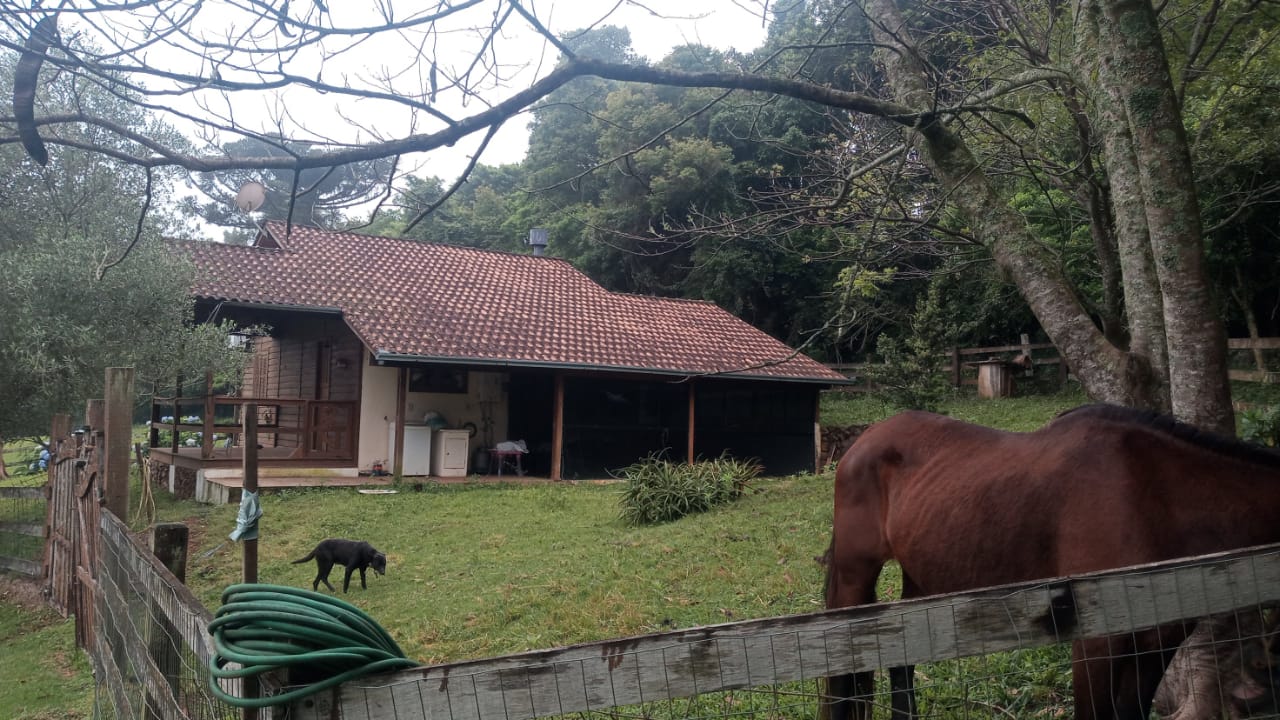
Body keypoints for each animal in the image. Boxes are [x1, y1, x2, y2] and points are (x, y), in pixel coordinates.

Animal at [824, 404, 1280, 717]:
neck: (1155, 494)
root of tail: (863, 441)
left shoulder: (1155, 645)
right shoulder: (1095, 642)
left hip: (922, 578)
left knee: (902, 659)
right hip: (854, 574)